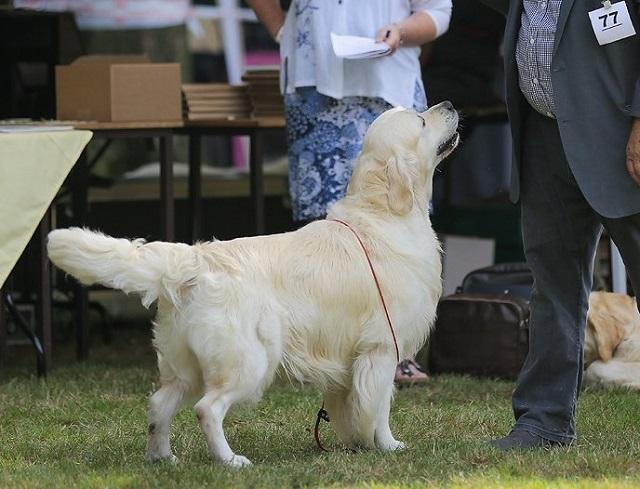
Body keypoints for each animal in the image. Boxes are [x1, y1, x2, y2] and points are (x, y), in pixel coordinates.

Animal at [48, 102, 460, 466]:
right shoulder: (381, 348)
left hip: (185, 363)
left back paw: (162, 458)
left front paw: (355, 444)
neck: (386, 213)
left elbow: (350, 409)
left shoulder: (348, 360)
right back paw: (230, 460)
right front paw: (388, 446)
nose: (450, 104)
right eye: (421, 121)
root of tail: (193, 260)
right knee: (207, 408)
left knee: (159, 404)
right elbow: (379, 408)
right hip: (248, 360)